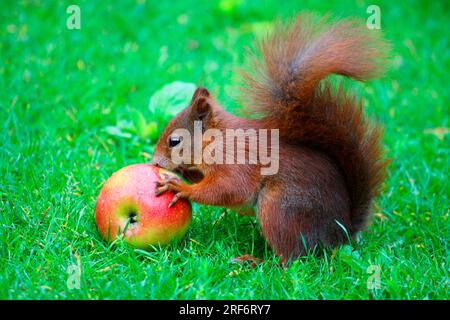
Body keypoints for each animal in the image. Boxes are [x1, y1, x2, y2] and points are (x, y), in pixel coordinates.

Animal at [151, 14, 390, 262]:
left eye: (174, 141)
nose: (155, 162)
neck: (217, 140)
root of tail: (341, 233)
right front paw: (183, 172)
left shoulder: (236, 162)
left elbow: (228, 189)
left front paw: (180, 187)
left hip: (279, 210)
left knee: (290, 258)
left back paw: (254, 261)